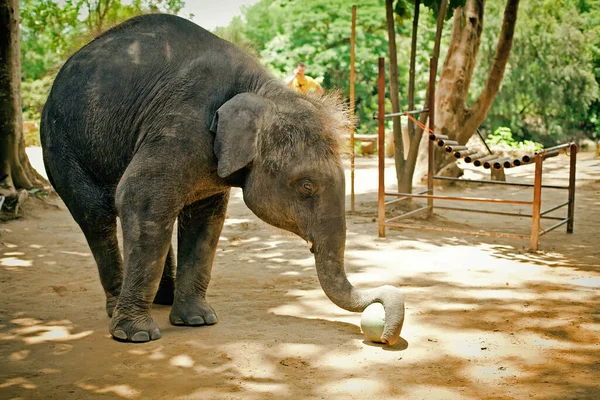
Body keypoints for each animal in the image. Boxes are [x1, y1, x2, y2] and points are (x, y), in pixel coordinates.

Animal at [41, 13, 404, 344]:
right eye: (306, 187)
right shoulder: (181, 123)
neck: (263, 90)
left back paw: (161, 301)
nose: (383, 328)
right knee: (98, 216)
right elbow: (137, 195)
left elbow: (205, 219)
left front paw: (197, 321)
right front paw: (138, 336)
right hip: (61, 145)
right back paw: (119, 310)